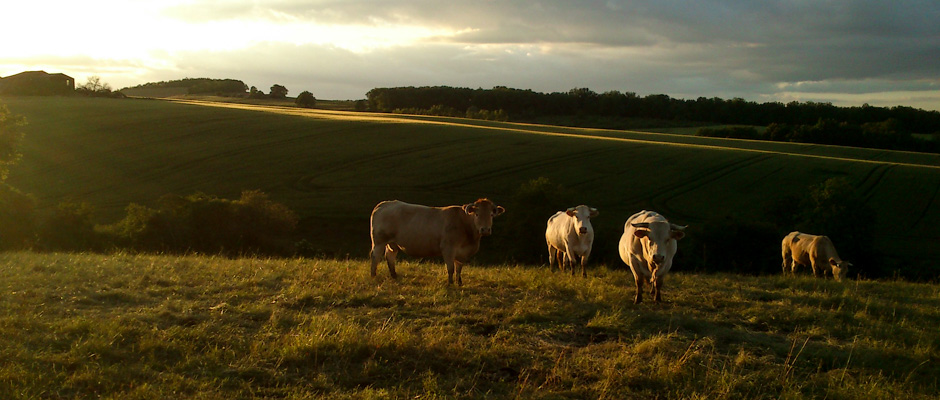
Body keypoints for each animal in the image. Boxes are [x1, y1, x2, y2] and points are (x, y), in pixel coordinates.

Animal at [368, 198, 504, 286]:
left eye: (491, 214)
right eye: (477, 214)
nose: (485, 229)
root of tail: (384, 204)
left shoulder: (462, 252)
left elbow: (459, 268)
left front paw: (459, 283)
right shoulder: (448, 248)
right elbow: (451, 268)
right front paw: (450, 283)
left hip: (393, 243)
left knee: (390, 256)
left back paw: (394, 276)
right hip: (379, 241)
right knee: (375, 257)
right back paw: (373, 276)